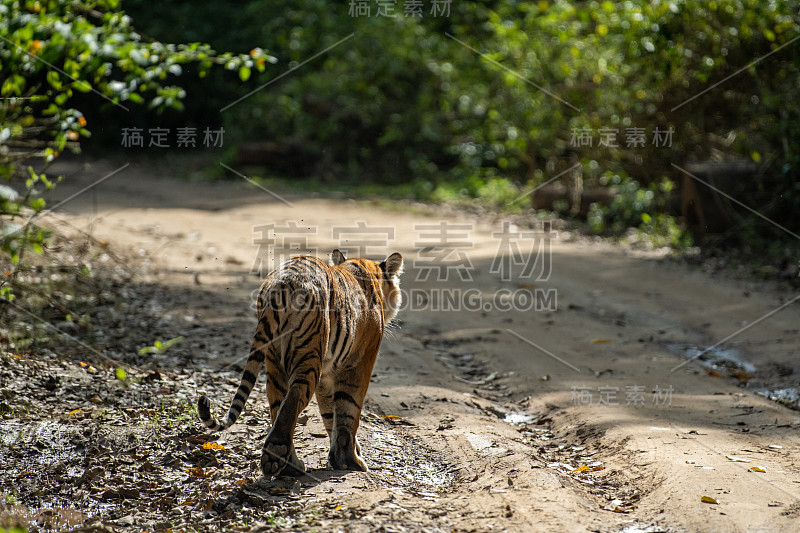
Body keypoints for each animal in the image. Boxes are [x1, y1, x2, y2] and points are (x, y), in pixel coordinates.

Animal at [198, 249, 404, 478]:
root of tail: (282, 283)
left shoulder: (327, 374)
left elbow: (329, 414)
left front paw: (338, 457)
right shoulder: (358, 363)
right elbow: (348, 411)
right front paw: (351, 460)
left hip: (275, 361)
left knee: (277, 405)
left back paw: (288, 465)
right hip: (309, 353)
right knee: (293, 397)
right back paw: (279, 454)